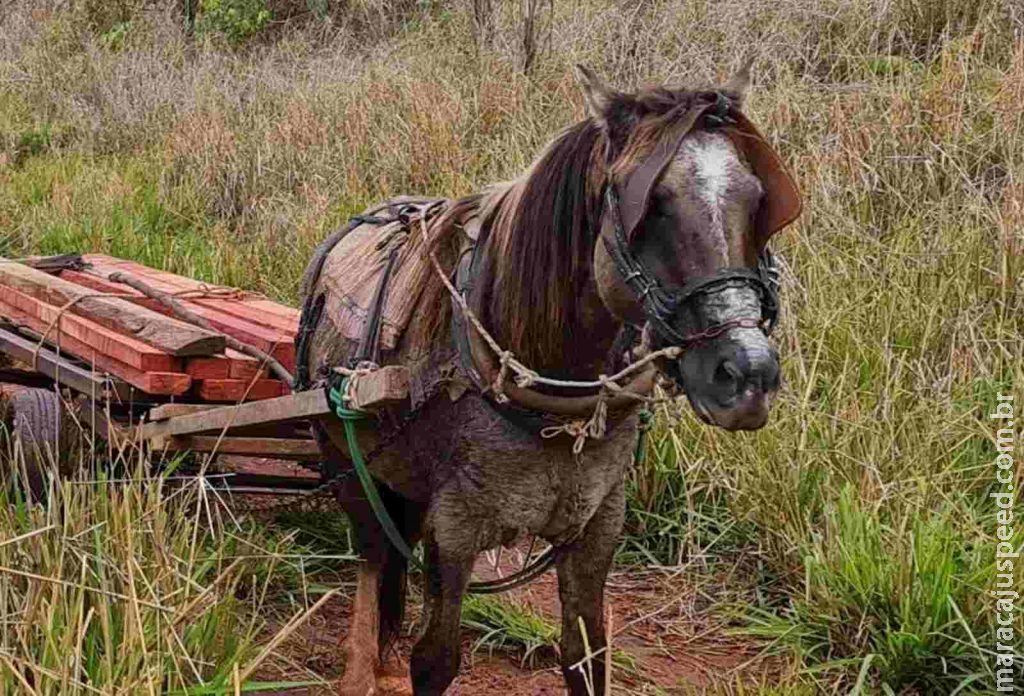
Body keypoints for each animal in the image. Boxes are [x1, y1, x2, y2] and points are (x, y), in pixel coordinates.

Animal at [296, 62, 798, 691]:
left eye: (756, 200)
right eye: (652, 204)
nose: (748, 374)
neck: (552, 400)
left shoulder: (597, 525)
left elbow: (586, 654)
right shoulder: (454, 532)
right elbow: (435, 659)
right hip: (347, 465)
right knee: (373, 561)